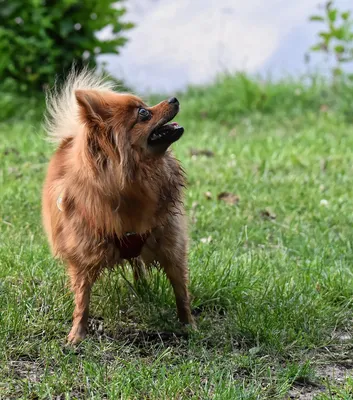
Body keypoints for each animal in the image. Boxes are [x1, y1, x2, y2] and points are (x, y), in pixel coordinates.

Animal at [42, 69, 194, 344]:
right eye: (143, 113)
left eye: (145, 105)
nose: (174, 98)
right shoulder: (84, 253)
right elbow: (82, 299)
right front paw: (77, 334)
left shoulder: (171, 244)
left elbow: (181, 291)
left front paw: (189, 326)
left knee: (138, 265)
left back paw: (143, 288)